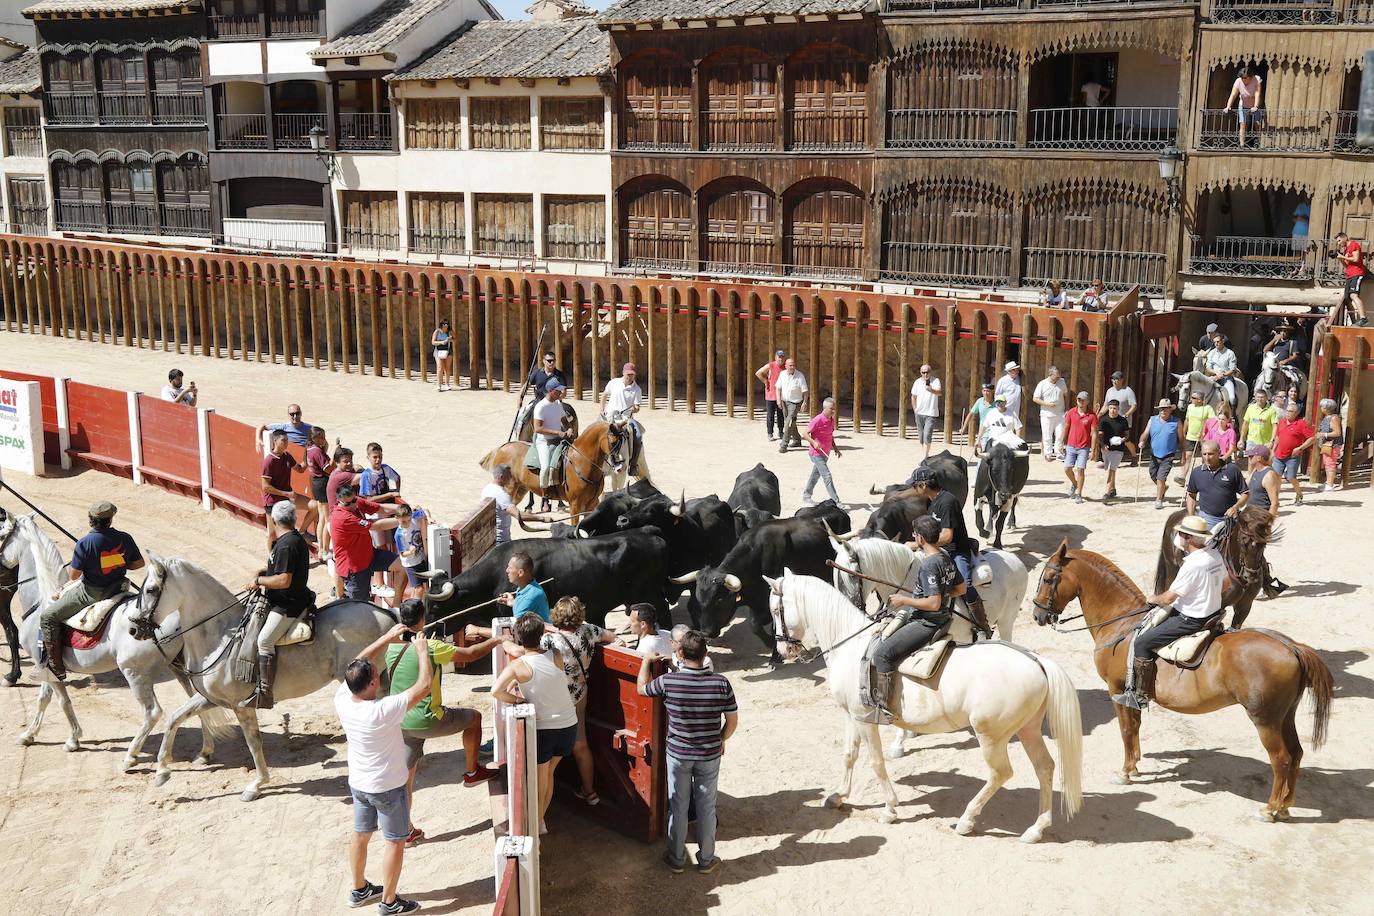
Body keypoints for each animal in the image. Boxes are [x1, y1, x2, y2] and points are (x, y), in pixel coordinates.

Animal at [1, 516, 229, 769]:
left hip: (134, 673)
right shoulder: (46, 668)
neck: (40, 599)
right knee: (194, 703)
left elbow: (60, 701)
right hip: (177, 667)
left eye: (1, 535)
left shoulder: (46, 664)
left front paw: (72, 739)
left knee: (152, 712)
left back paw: (131, 756)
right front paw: (30, 734)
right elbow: (46, 698)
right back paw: (205, 752)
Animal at [136, 554, 398, 796]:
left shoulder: (241, 705)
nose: (134, 627)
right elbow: (174, 718)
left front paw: (257, 784)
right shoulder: (211, 698)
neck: (221, 635)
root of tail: (382, 612)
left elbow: (253, 742)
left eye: (151, 589)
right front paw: (162, 771)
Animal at [480, 420, 640, 521]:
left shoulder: (591, 504)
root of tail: (502, 447)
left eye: (624, 441)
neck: (582, 462)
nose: (621, 466)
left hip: (520, 490)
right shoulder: (575, 505)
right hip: (509, 488)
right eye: (613, 442)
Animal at [769, 574, 1077, 845]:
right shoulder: (852, 715)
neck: (851, 645)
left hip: (991, 735)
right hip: (1028, 729)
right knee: (1045, 768)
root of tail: (1035, 660)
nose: (783, 652)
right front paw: (838, 796)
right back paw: (1036, 829)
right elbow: (849, 755)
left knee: (1000, 773)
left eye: (775, 610)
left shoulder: (865, 720)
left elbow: (876, 763)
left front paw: (889, 808)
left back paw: (966, 820)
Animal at [1033, 543, 1330, 823]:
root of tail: (1292, 647)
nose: (1037, 614)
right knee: (1297, 753)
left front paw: (1125, 772)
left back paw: (1269, 809)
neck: (1122, 623)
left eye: (1047, 578)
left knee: (1281, 759)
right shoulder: (1133, 694)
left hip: (1265, 720)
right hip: (1285, 716)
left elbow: (1126, 729)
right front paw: (1135, 765)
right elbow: (1135, 727)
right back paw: (1286, 807)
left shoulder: (1116, 690)